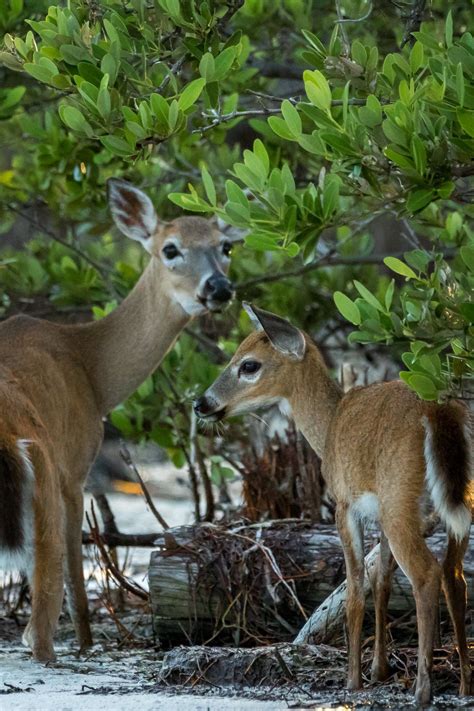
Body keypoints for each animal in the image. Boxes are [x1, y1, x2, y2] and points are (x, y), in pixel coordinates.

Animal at [0, 181, 234, 664]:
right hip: (43, 479)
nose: (219, 287)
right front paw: (87, 643)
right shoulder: (74, 466)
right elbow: (76, 576)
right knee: (40, 625)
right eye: (170, 248)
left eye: (226, 246)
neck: (92, 370)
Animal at [194, 304, 472, 704]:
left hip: (399, 497)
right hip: (453, 502)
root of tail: (438, 414)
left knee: (426, 574)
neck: (329, 426)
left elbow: (355, 588)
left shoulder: (345, 504)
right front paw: (378, 670)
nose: (201, 404)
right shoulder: (378, 513)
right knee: (455, 576)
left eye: (248, 365)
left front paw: (353, 679)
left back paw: (423, 689)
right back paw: (464, 682)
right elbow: (381, 581)